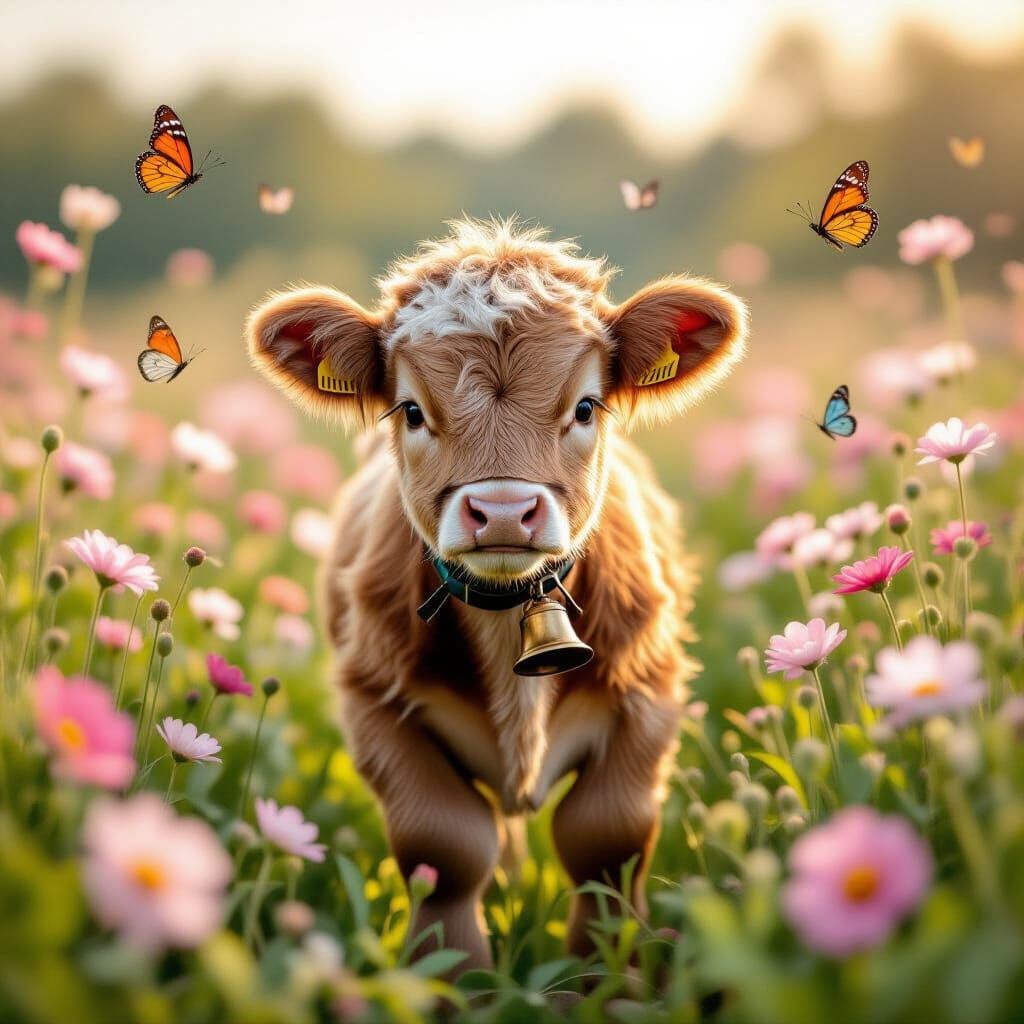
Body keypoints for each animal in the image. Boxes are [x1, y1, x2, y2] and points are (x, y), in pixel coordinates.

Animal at [247, 218, 748, 969]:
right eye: (412, 411)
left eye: (586, 406)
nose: (505, 511)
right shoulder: (375, 705)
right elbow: (444, 847)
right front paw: (457, 977)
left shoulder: (650, 695)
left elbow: (606, 840)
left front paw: (607, 976)